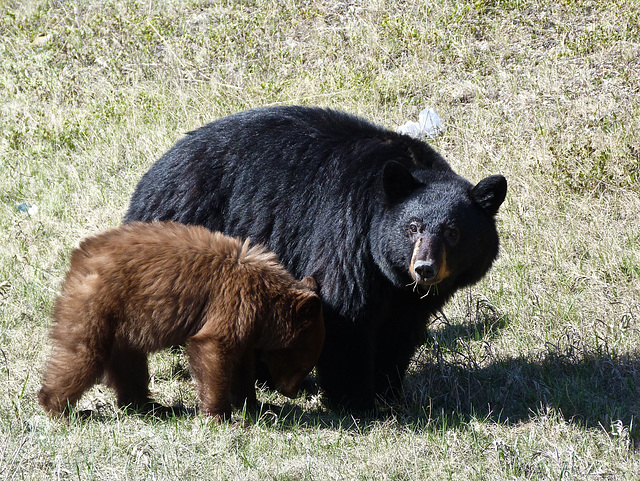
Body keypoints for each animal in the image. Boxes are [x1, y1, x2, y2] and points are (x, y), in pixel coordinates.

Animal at [124, 104, 504, 408]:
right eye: (413, 227)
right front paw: (355, 402)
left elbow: (400, 333)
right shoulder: (348, 238)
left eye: (453, 232)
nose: (425, 269)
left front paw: (389, 394)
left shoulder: (405, 297)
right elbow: (347, 313)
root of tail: (153, 173)